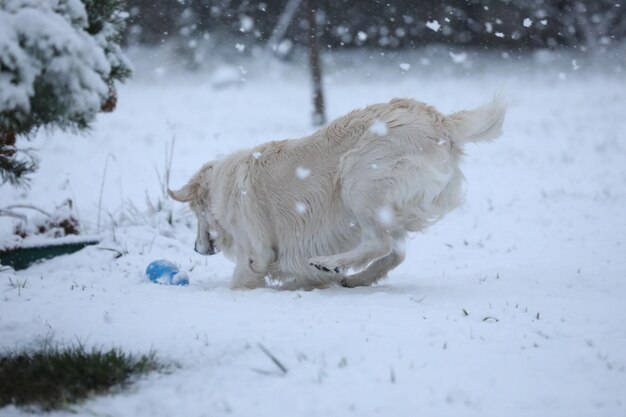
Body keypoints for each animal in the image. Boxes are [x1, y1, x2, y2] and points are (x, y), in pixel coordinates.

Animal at [168, 97, 504, 288]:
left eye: (194, 213)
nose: (197, 249)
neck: (223, 185)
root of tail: (439, 121)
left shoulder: (257, 254)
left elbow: (242, 278)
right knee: (395, 252)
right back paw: (355, 278)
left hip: (357, 179)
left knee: (379, 243)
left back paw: (330, 263)